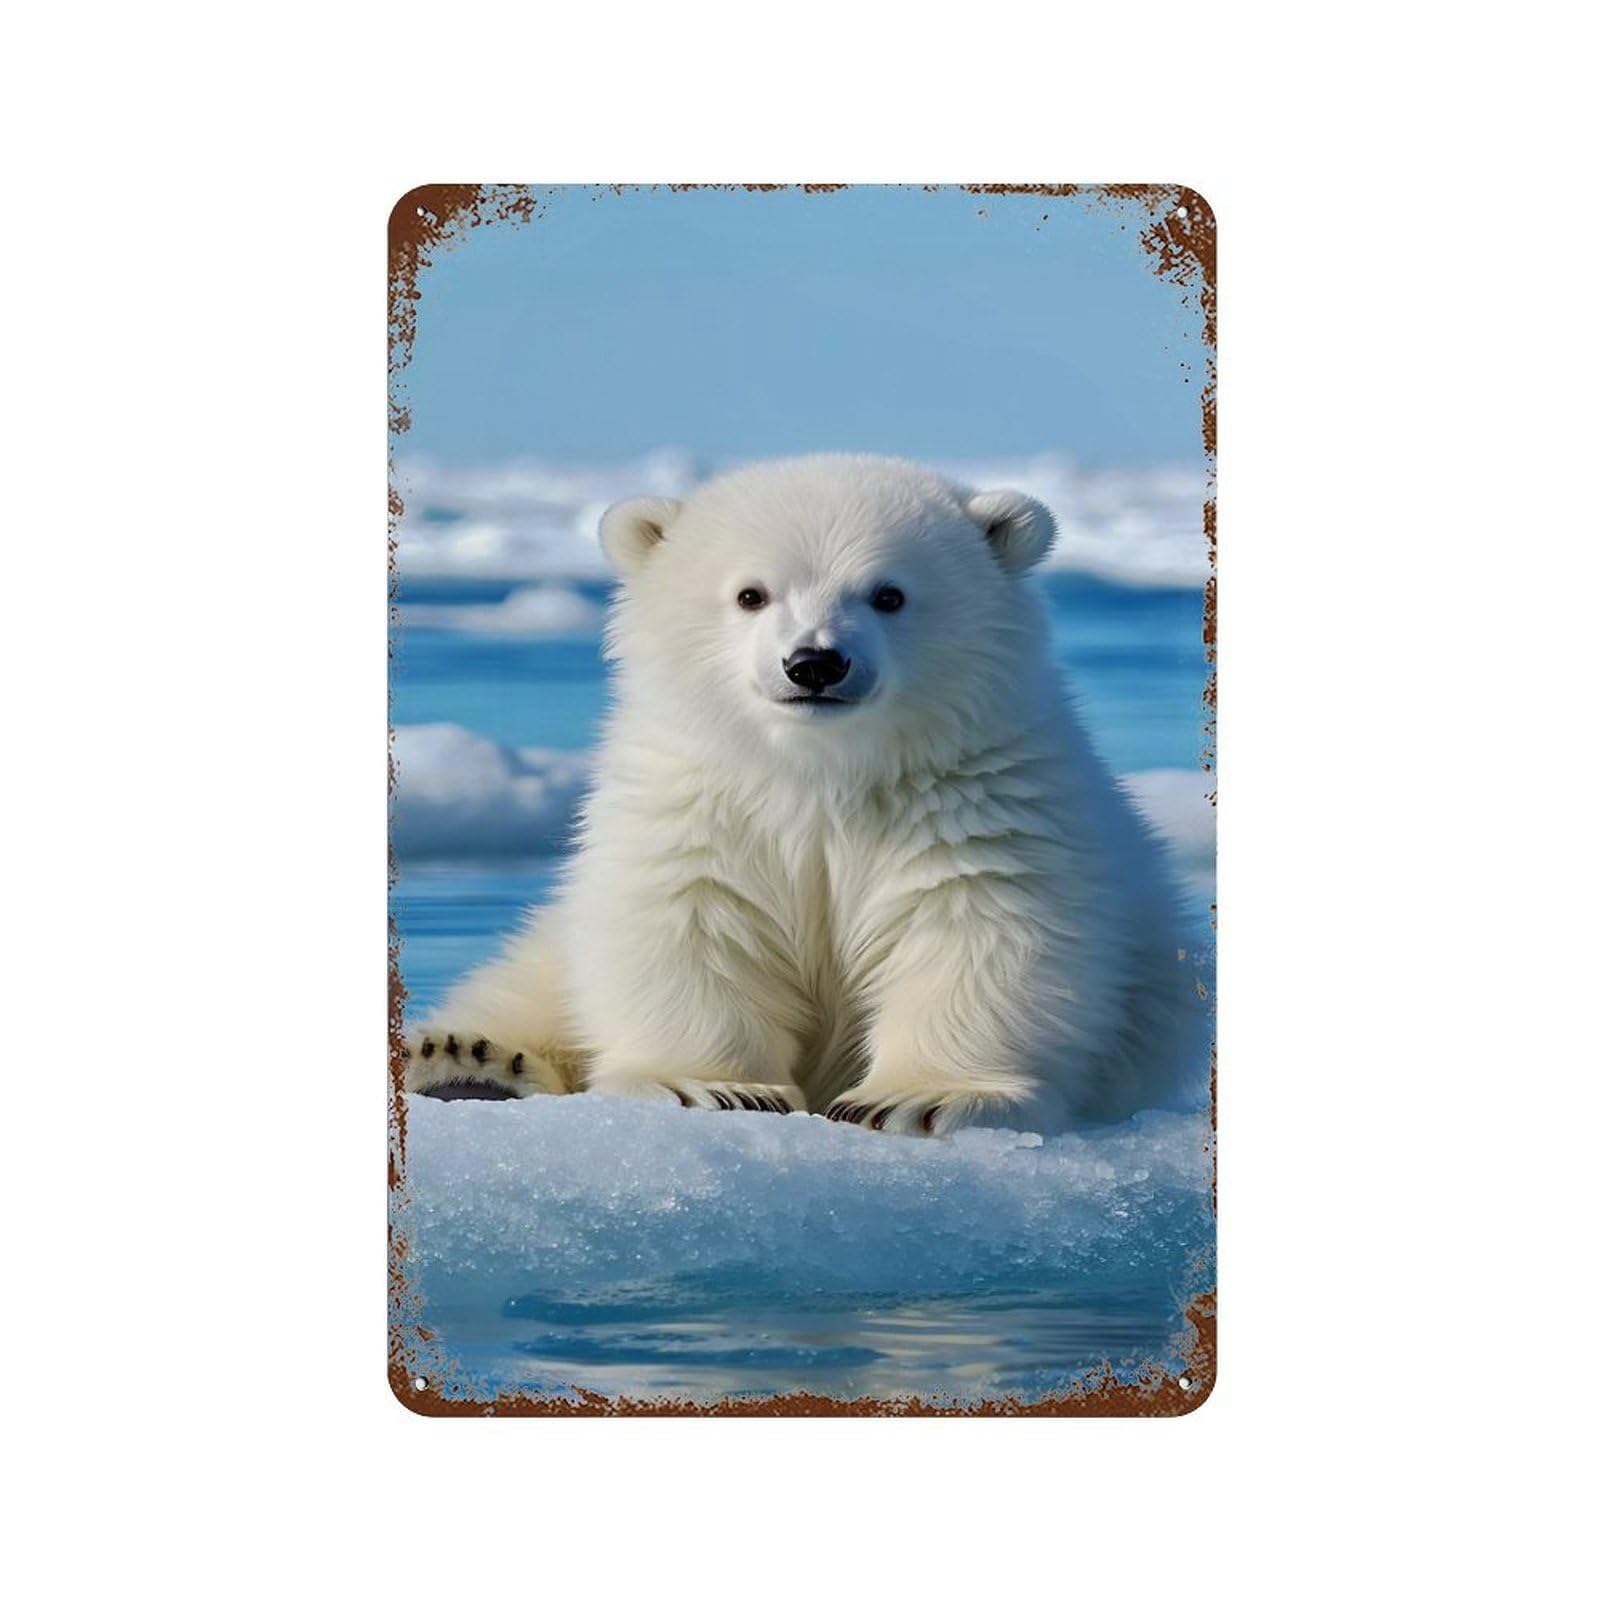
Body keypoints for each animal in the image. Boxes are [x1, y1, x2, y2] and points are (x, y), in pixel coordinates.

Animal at [403, 454, 1196, 1135]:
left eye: (889, 594)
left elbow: (978, 927)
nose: (816, 662)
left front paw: (921, 1097)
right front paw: (713, 1085)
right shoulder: (705, 804)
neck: (823, 775)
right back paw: (463, 1059)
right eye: (752, 594)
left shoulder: (977, 800)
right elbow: (687, 919)